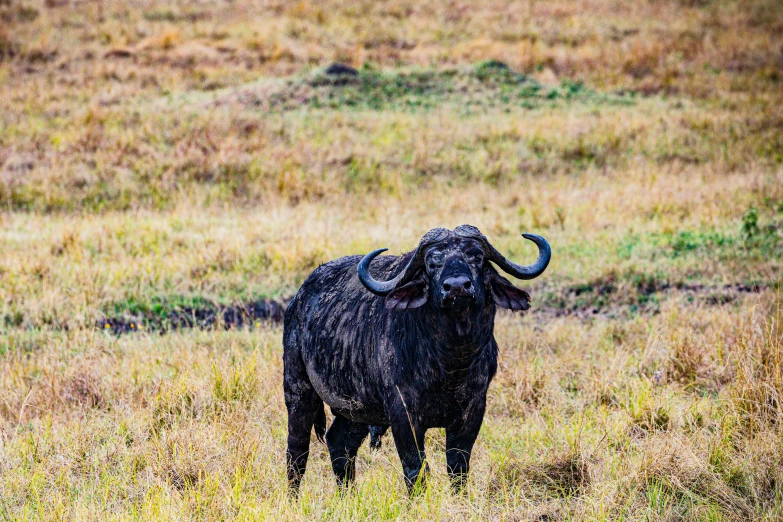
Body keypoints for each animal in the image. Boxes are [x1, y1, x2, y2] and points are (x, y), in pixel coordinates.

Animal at [284, 223, 552, 492]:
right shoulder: (403, 414)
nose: (457, 287)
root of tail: (298, 300)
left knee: (339, 443)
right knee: (297, 453)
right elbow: (416, 469)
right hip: (298, 391)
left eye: (476, 257)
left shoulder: (473, 409)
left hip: (356, 410)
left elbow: (458, 467)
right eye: (432, 263)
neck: (451, 362)